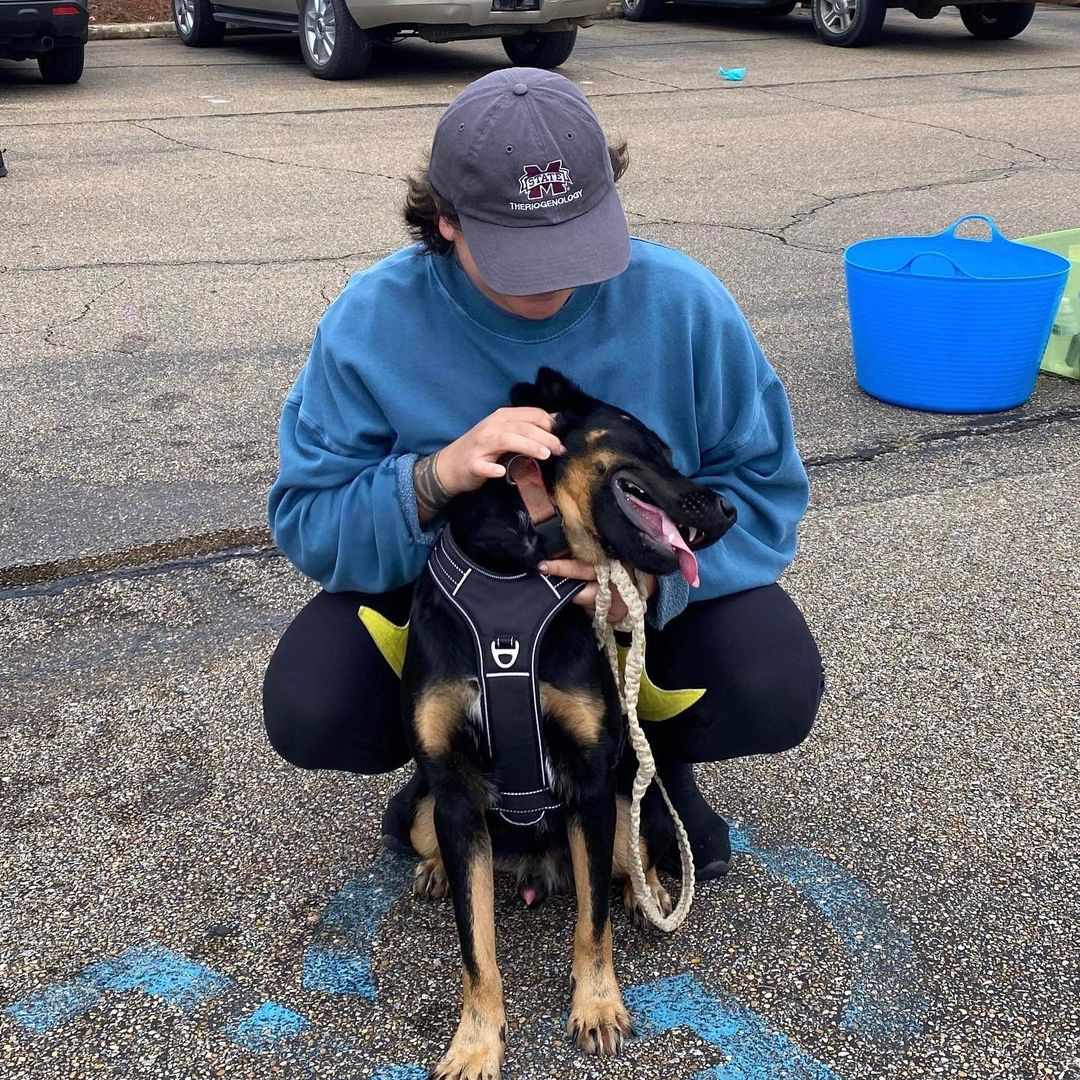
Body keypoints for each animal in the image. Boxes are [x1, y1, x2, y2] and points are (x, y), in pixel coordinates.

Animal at [403, 369, 734, 1080]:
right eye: (655, 447)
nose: (727, 512)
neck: (518, 563)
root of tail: (537, 870)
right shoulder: (452, 790)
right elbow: (476, 948)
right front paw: (476, 1043)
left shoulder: (590, 780)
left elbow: (593, 921)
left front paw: (598, 1005)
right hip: (421, 811)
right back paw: (437, 869)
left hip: (626, 799)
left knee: (631, 858)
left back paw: (649, 892)